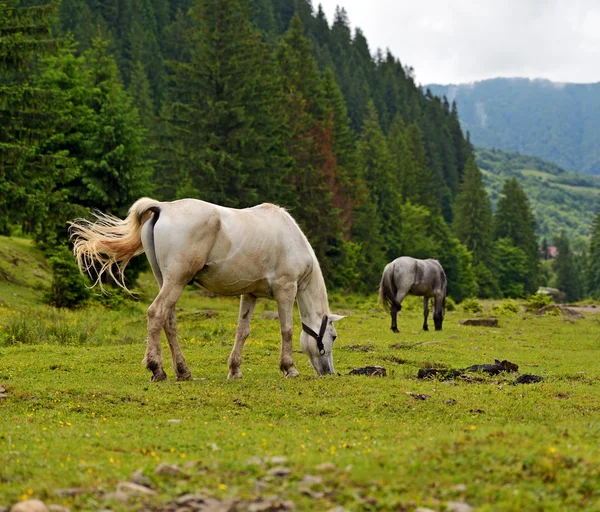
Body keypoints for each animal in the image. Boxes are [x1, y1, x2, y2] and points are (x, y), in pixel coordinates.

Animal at [69, 198, 342, 382]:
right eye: (333, 336)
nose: (329, 372)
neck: (289, 238)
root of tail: (162, 207)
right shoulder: (286, 290)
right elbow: (286, 330)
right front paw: (289, 368)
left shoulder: (249, 294)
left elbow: (242, 331)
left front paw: (235, 370)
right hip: (176, 280)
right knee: (156, 314)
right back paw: (157, 369)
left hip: (166, 280)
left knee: (169, 321)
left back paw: (183, 371)